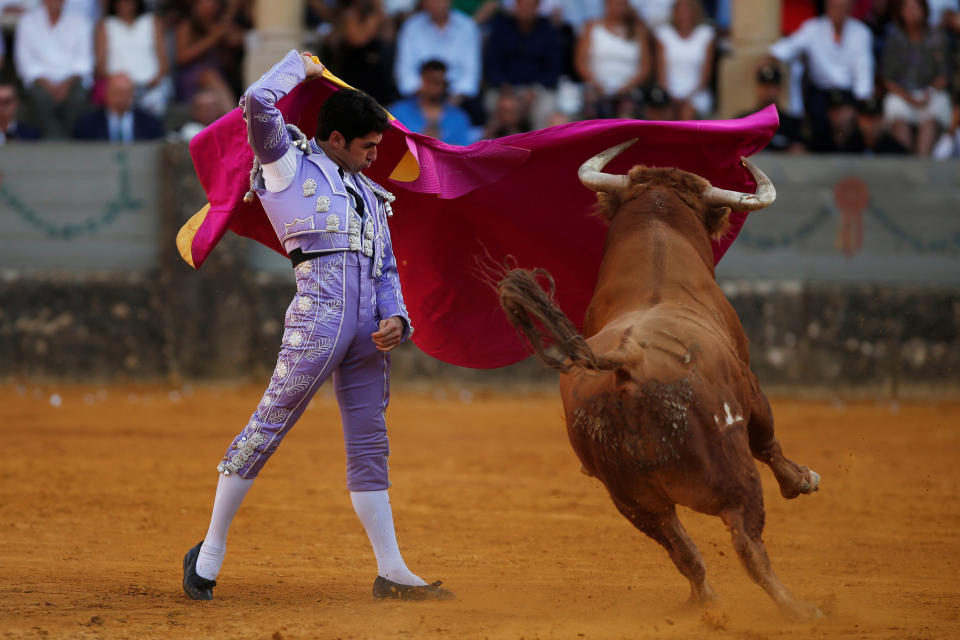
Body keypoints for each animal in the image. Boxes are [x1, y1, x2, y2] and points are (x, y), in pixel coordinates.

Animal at [498, 141, 820, 620]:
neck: (658, 264)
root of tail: (629, 362)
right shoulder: (751, 381)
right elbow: (768, 439)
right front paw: (801, 480)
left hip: (631, 499)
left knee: (683, 551)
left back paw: (704, 604)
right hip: (732, 476)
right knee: (747, 542)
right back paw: (798, 608)